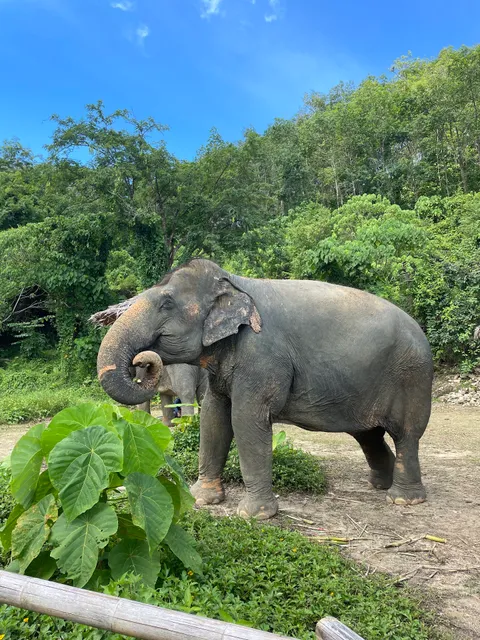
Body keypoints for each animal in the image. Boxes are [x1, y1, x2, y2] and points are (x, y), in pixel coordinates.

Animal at [96, 258, 433, 520]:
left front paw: (254, 515)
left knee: (406, 434)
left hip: (411, 377)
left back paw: (402, 498)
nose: (143, 360)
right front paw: (203, 498)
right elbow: (214, 417)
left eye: (166, 303)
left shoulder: (262, 357)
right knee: (368, 434)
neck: (234, 283)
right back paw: (379, 485)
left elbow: (246, 419)